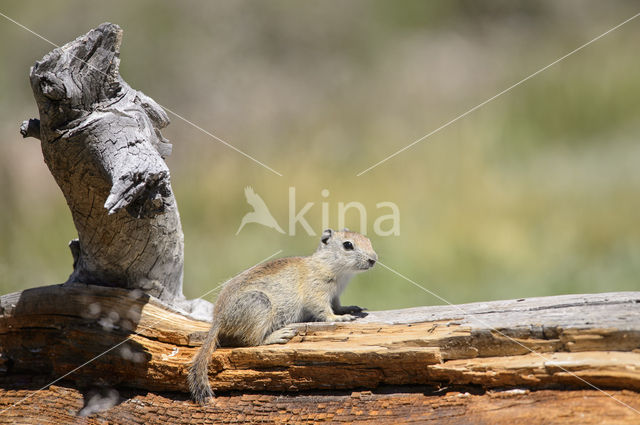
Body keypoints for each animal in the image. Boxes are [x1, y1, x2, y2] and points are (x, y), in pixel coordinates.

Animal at [190, 229, 380, 404]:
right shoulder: (316, 291)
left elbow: (338, 306)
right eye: (348, 245)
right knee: (252, 341)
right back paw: (278, 335)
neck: (329, 265)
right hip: (260, 305)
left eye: (368, 240)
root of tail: (218, 320)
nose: (373, 259)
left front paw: (351, 309)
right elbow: (323, 310)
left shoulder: (335, 296)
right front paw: (339, 318)